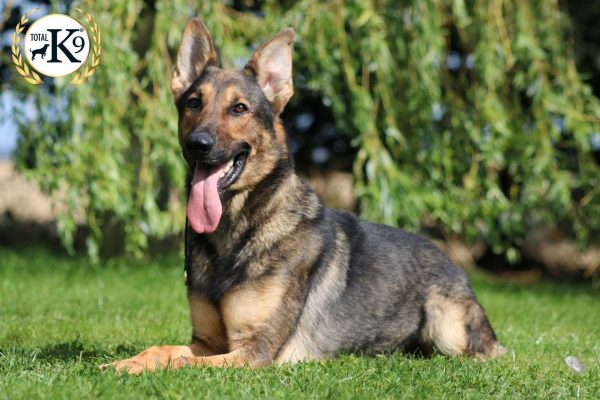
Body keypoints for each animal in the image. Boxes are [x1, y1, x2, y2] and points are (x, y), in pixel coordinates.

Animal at [101, 19, 504, 376]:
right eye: (193, 103)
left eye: (239, 108)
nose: (197, 144)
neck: (237, 232)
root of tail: (455, 265)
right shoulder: (208, 342)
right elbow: (162, 350)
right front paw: (125, 362)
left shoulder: (254, 351)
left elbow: (181, 362)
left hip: (446, 327)